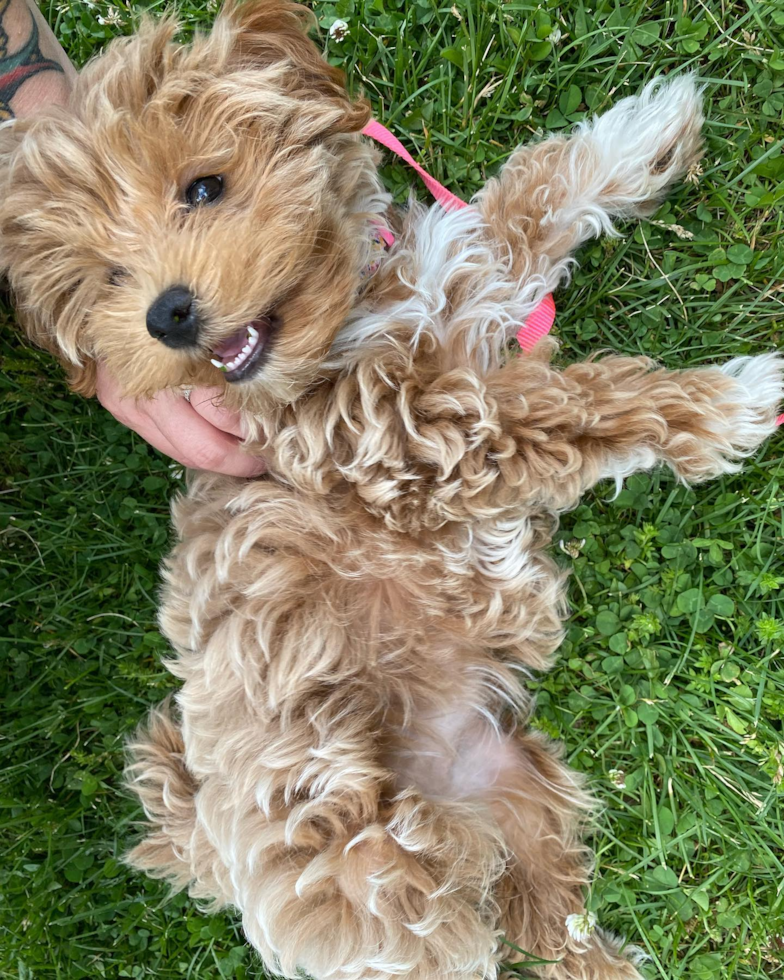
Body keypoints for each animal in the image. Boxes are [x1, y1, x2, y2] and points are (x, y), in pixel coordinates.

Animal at [3, 3, 780, 976]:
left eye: (205, 188)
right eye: (106, 277)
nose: (166, 315)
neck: (350, 306)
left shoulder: (464, 282)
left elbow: (527, 202)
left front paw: (641, 136)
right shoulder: (425, 442)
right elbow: (586, 405)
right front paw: (734, 399)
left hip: (527, 798)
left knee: (548, 922)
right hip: (377, 876)